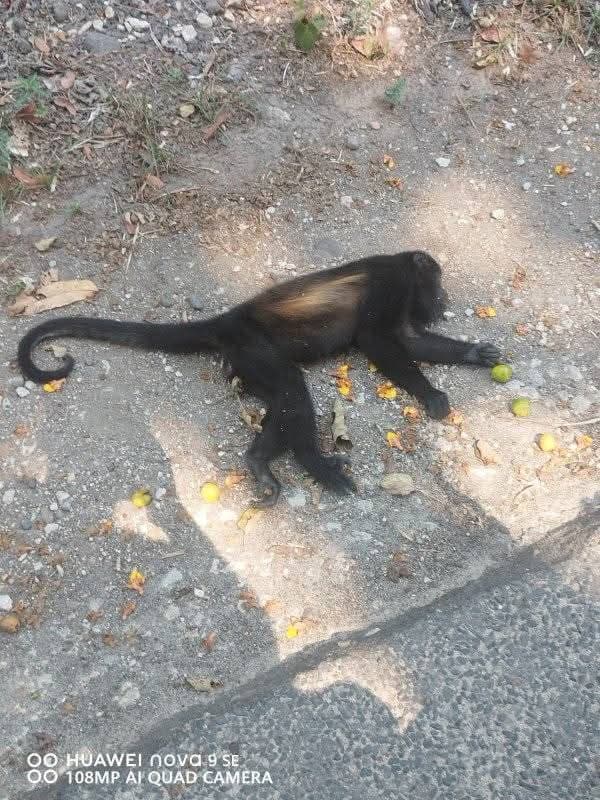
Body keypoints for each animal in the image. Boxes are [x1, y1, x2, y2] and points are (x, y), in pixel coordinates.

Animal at [17, 251, 501, 507]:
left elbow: (409, 341)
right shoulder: (391, 283)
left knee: (283, 402)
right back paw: (315, 463)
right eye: (436, 284)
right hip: (255, 348)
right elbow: (378, 341)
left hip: (246, 363)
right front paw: (429, 392)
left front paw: (475, 354)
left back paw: (258, 461)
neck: (403, 266)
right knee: (293, 392)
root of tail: (230, 320)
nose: (444, 299)